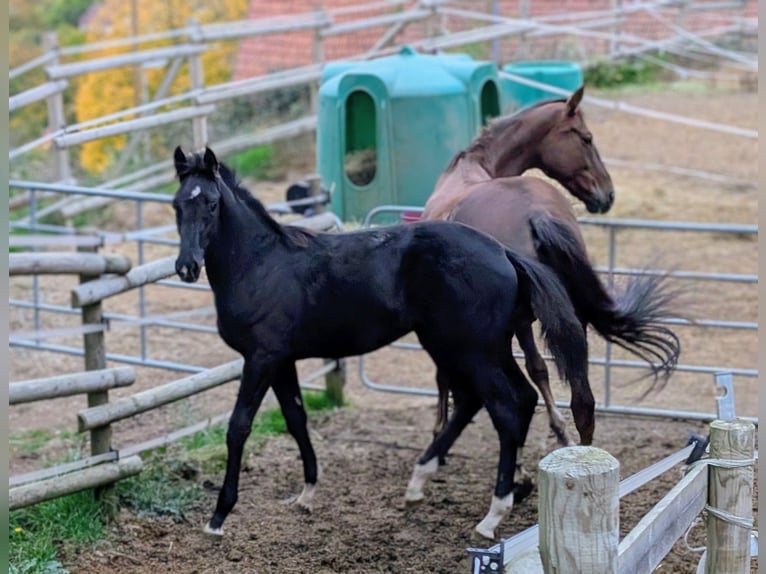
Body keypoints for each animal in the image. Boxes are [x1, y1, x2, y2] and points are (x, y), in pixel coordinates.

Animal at [171, 145, 591, 540]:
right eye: (177, 204)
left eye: (211, 204)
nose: (186, 267)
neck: (261, 264)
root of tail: (505, 252)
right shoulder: (282, 360)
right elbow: (296, 418)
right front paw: (307, 493)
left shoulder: (260, 358)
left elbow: (238, 427)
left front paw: (218, 517)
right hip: (469, 346)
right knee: (503, 398)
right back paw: (427, 481)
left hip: (473, 349)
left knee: (504, 406)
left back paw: (492, 514)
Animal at [422, 86, 681, 449]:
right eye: (586, 138)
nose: (608, 194)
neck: (476, 167)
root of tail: (537, 215)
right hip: (572, 318)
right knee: (583, 403)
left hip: (519, 322)